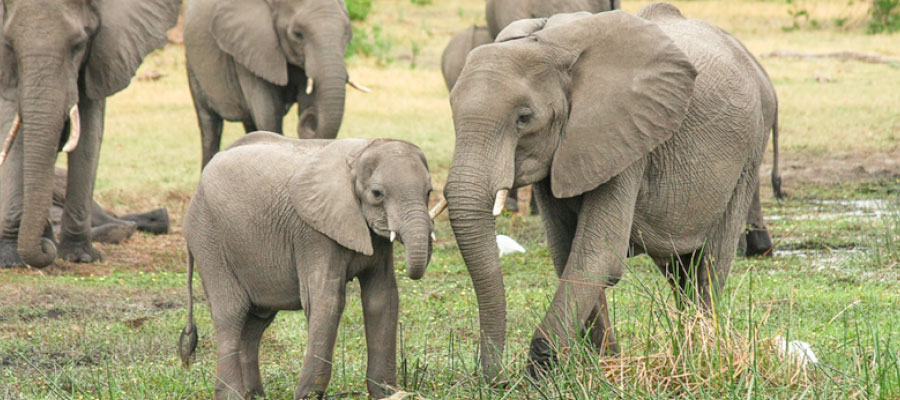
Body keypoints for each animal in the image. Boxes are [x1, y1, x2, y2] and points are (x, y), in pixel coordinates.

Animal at [0, 0, 181, 268]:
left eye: (78, 45)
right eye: (9, 44)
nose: (45, 248)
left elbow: (89, 130)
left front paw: (79, 256)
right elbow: (11, 125)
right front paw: (11, 260)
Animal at [178, 132, 444, 399]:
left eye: (429, 191)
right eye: (377, 194)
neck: (359, 154)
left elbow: (382, 298)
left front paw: (388, 394)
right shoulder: (313, 233)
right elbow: (327, 300)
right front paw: (307, 396)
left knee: (256, 321)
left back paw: (255, 394)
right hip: (208, 239)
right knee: (231, 313)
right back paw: (233, 395)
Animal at [185, 0, 369, 169]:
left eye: (346, 33)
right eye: (298, 34)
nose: (311, 117)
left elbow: (306, 102)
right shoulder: (253, 49)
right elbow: (268, 115)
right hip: (193, 65)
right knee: (210, 126)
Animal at [443, 4, 779, 380]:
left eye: (524, 118)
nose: (497, 380)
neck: (550, 45)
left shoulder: (626, 138)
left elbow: (597, 254)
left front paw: (542, 371)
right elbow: (566, 252)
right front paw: (602, 363)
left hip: (749, 152)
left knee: (710, 262)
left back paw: (702, 351)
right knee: (680, 269)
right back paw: (687, 345)